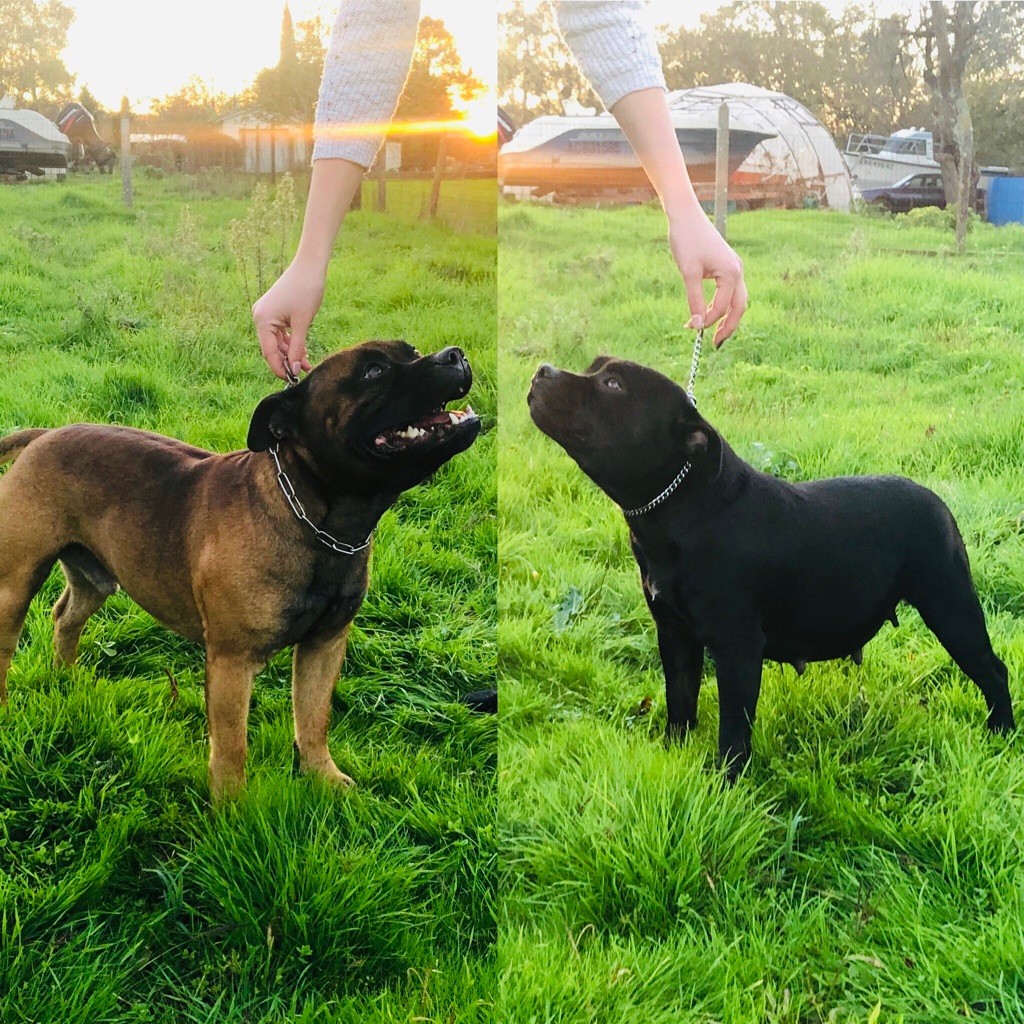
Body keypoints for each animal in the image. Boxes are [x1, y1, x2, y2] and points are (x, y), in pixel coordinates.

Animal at [0, 344, 479, 798]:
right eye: (373, 371)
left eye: (413, 352)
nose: (454, 354)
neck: (321, 523)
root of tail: (46, 435)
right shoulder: (233, 662)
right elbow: (232, 748)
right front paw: (232, 809)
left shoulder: (324, 645)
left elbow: (313, 719)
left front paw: (321, 776)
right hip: (15, 585)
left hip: (95, 579)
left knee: (67, 617)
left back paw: (66, 678)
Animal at [532, 356, 1011, 778]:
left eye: (613, 384)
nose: (542, 370)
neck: (685, 507)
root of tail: (937, 501)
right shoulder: (675, 636)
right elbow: (679, 702)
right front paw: (673, 755)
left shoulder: (737, 649)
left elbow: (733, 731)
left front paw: (726, 784)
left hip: (950, 607)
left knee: (993, 670)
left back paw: (1001, 733)